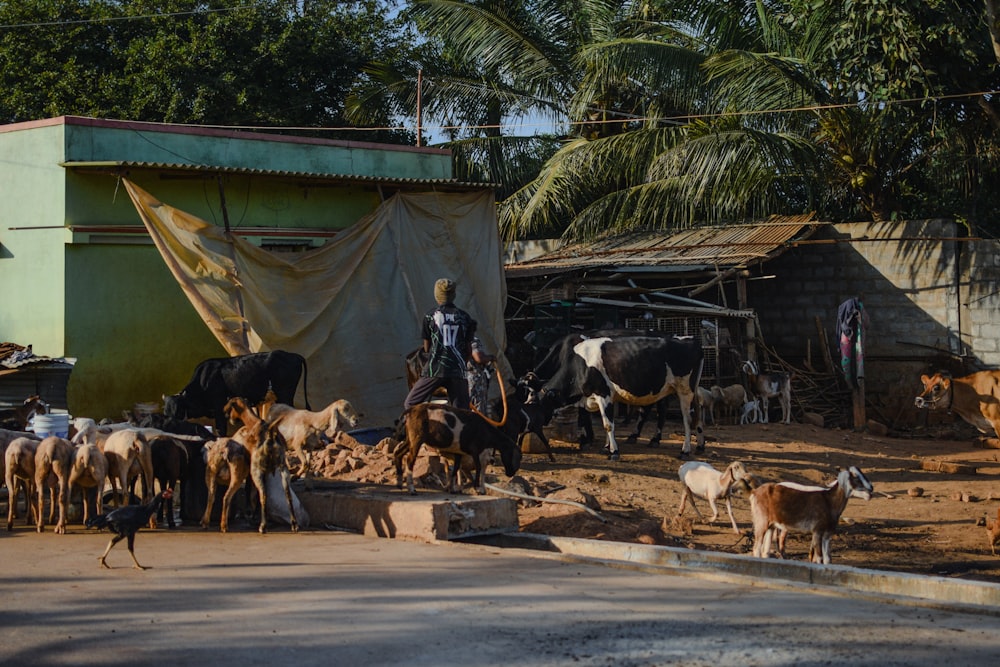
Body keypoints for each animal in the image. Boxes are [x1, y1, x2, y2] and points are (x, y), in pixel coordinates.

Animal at [162, 350, 310, 438]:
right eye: (165, 413)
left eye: (178, 411)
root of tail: (293, 354)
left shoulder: (219, 408)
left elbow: (221, 430)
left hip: (285, 394)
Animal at [394, 402, 524, 496]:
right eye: (517, 457)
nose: (511, 473)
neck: (487, 432)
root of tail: (410, 411)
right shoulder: (475, 449)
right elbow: (478, 467)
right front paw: (477, 488)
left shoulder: (458, 452)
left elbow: (455, 469)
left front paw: (453, 489)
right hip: (417, 439)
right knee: (410, 460)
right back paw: (411, 489)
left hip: (410, 440)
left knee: (398, 453)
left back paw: (399, 483)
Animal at [532, 334, 704, 460]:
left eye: (539, 404)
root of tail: (693, 340)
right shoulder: (603, 397)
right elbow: (607, 422)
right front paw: (606, 447)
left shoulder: (603, 393)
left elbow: (608, 424)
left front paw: (614, 452)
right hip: (686, 390)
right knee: (697, 416)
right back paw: (700, 446)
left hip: (685, 390)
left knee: (687, 420)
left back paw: (685, 451)